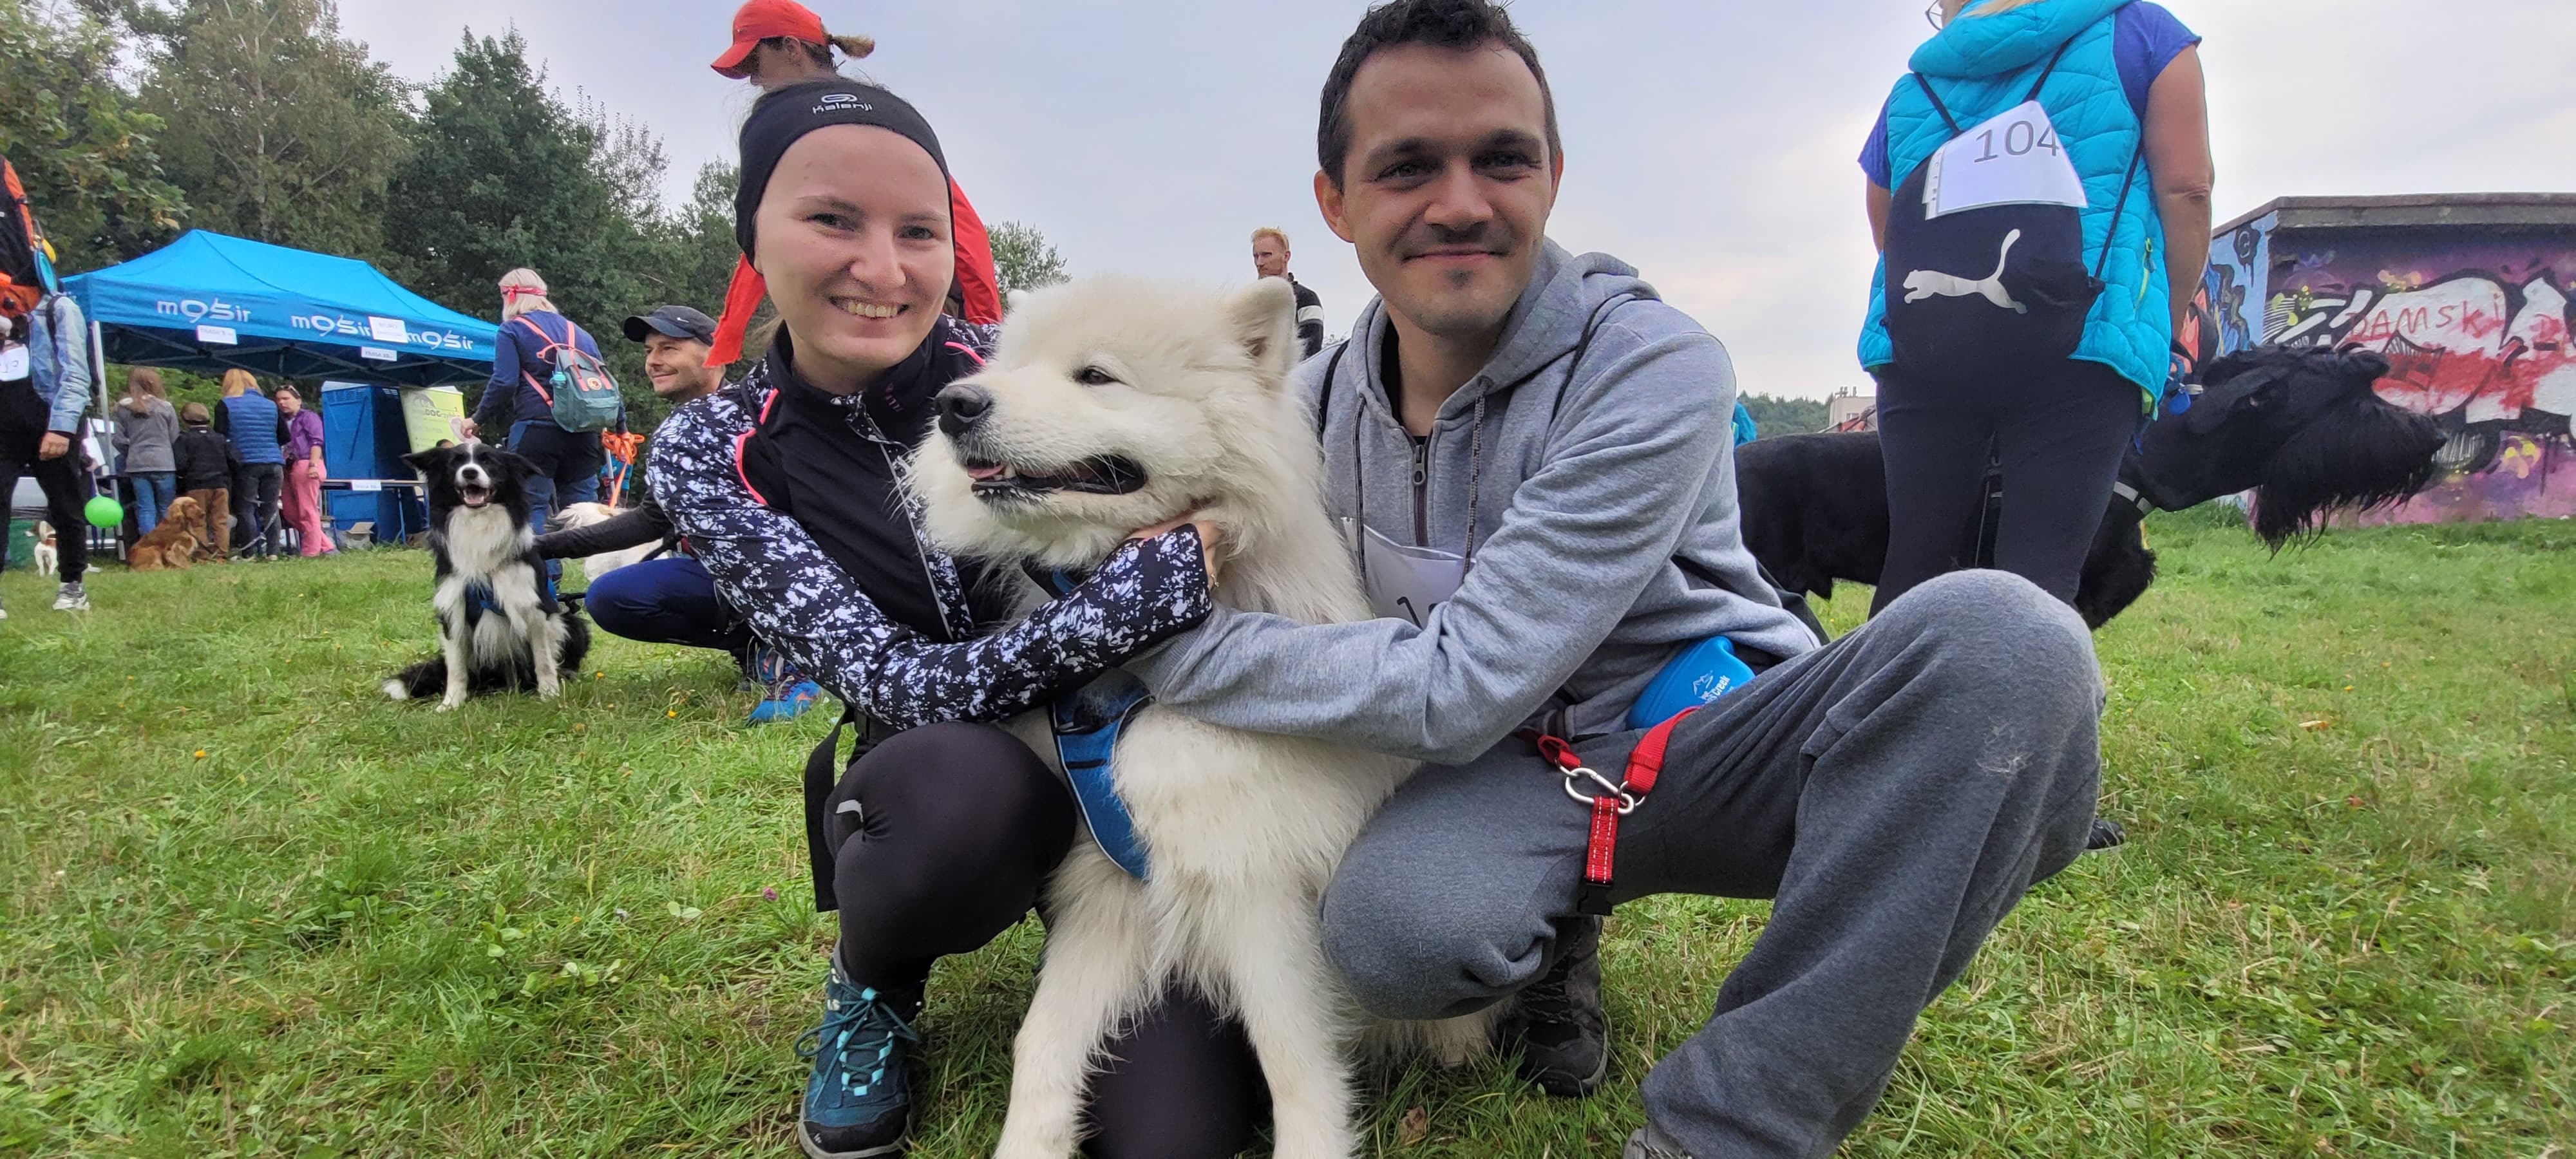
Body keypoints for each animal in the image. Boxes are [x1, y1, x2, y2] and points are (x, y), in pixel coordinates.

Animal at [379, 440, 590, 706]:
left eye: (489, 461)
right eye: (456, 462)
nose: (470, 472)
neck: (479, 524)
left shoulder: (534, 606)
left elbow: (543, 660)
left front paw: (549, 694)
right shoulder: (453, 606)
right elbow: (456, 666)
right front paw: (451, 703)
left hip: (573, 622)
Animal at [917, 278, 1494, 1159]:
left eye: (1096, 376)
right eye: (1006, 366)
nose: (953, 404)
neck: (1135, 691)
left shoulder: (1256, 889)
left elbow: (1293, 1061)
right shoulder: (1106, 890)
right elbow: (1041, 1042)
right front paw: (1027, 1146)